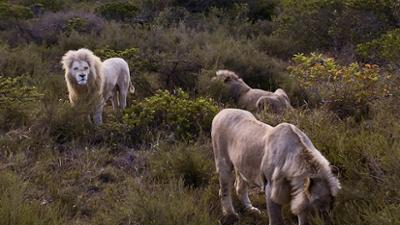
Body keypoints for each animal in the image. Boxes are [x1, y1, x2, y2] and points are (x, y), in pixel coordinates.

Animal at [211, 108, 340, 224]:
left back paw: (251, 210)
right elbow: (276, 219)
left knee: (239, 187)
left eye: (332, 203)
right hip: (223, 163)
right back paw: (231, 215)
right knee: (224, 191)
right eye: (320, 209)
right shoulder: (270, 188)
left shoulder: (299, 195)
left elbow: (302, 216)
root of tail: (222, 111)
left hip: (242, 164)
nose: (327, 220)